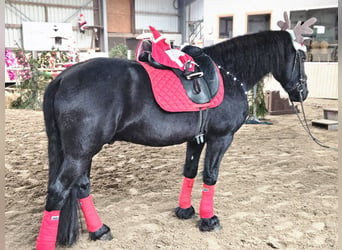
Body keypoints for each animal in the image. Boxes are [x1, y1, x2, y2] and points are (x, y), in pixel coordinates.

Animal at [36, 30, 308, 249]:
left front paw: (185, 211)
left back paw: (99, 230)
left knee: (81, 186)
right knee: (58, 192)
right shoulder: (221, 138)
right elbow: (210, 176)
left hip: (83, 153)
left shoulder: (196, 140)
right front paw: (208, 220)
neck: (228, 73)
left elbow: (190, 171)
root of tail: (62, 78)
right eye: (303, 57)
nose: (303, 92)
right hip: (79, 153)